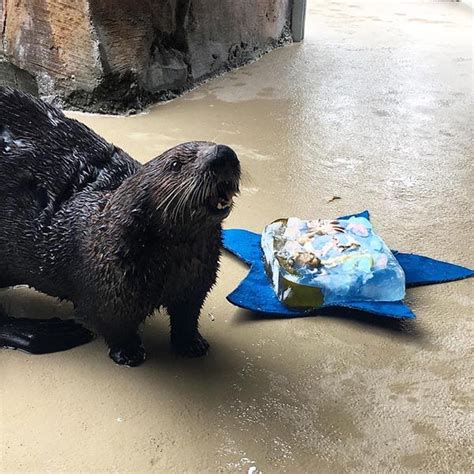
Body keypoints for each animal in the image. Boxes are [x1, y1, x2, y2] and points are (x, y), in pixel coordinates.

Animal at [0, 87, 241, 364]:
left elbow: (187, 315)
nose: (223, 154)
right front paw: (129, 354)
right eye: (176, 164)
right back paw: (47, 332)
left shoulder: (195, 281)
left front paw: (192, 344)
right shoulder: (108, 292)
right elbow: (113, 325)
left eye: (210, 144)